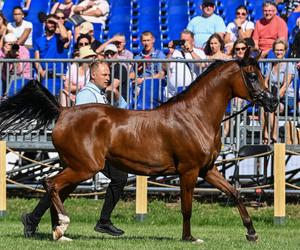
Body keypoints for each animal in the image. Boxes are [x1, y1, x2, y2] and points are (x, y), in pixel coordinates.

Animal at [0, 51, 278, 243]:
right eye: (252, 76)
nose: (273, 102)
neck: (196, 116)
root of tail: (63, 111)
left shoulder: (206, 169)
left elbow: (235, 193)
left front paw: (252, 233)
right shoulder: (188, 171)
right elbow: (186, 207)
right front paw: (189, 238)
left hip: (76, 166)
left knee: (55, 189)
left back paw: (53, 230)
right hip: (85, 167)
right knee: (50, 184)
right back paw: (60, 227)